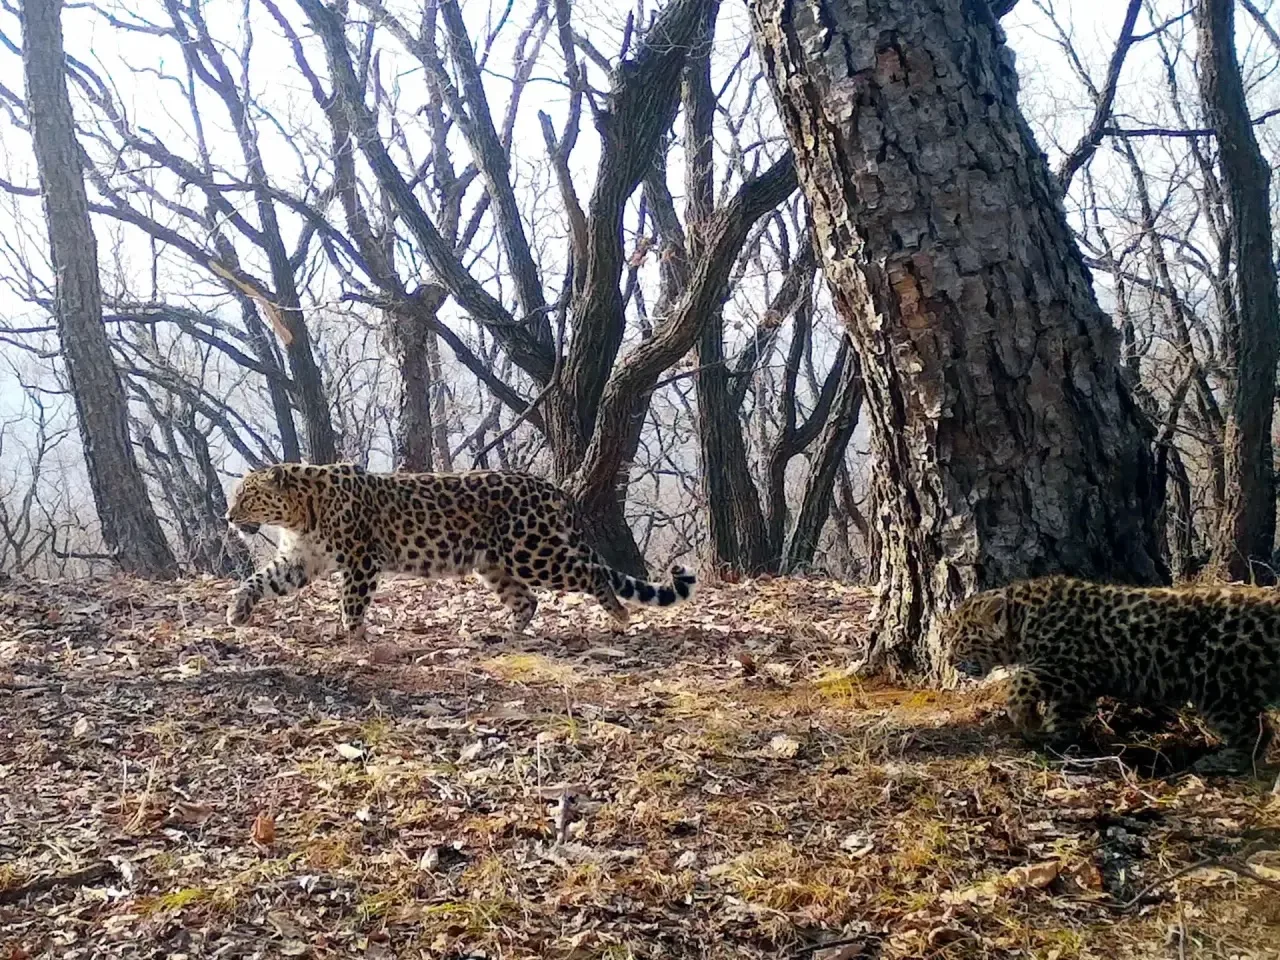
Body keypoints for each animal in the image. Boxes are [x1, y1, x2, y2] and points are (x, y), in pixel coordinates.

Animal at [223, 462, 696, 637]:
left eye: (247, 497)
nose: (228, 517)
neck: (299, 513)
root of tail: (552, 488)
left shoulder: (360, 560)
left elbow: (351, 602)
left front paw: (352, 636)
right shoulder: (300, 559)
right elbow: (260, 580)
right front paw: (237, 612)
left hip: (531, 551)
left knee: (590, 573)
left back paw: (618, 613)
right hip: (496, 563)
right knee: (527, 599)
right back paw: (504, 634)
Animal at [942, 575, 1280, 775]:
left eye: (958, 638)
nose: (948, 659)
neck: (1024, 619)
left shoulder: (1070, 666)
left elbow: (1020, 682)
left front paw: (1027, 720)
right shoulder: (1076, 684)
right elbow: (1064, 712)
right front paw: (1054, 738)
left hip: (1218, 685)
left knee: (1253, 729)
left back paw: (1222, 761)